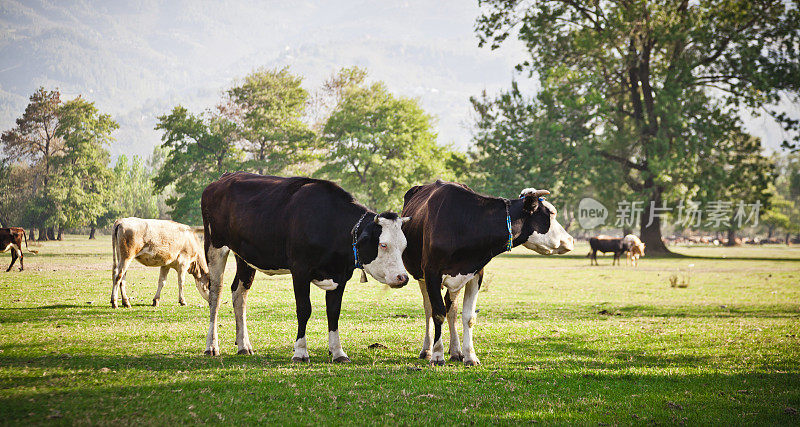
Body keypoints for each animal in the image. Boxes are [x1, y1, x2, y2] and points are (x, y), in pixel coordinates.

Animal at [200, 173, 412, 362]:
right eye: (383, 245)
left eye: (404, 246)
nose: (403, 277)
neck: (329, 223)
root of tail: (224, 177)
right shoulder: (300, 270)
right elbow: (304, 309)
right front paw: (300, 352)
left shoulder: (341, 275)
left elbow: (333, 311)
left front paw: (338, 352)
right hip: (214, 246)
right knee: (215, 295)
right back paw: (211, 346)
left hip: (244, 257)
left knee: (239, 294)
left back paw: (243, 345)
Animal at [404, 180, 572, 364]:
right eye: (552, 213)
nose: (570, 240)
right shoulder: (431, 273)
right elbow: (438, 313)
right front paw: (437, 355)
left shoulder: (476, 273)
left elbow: (468, 316)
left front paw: (470, 356)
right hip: (421, 275)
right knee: (429, 309)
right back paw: (427, 350)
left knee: (452, 308)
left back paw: (456, 351)